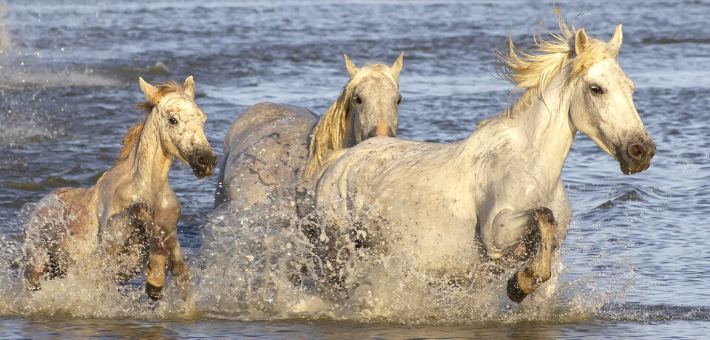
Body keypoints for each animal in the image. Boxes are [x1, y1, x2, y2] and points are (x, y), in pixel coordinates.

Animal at [22, 77, 217, 300]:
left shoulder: (170, 233)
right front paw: (155, 278)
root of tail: (38, 206)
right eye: (173, 119)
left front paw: (157, 283)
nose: (207, 161)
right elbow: (140, 211)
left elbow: (181, 270)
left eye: (203, 118)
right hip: (37, 266)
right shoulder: (112, 240)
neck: (150, 190)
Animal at [314, 9, 660, 302]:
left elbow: (544, 260)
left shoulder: (554, 254)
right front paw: (519, 283)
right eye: (596, 88)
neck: (533, 169)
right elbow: (543, 216)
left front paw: (520, 282)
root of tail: (341, 160)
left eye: (630, 87)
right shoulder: (497, 232)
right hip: (336, 256)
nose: (641, 151)